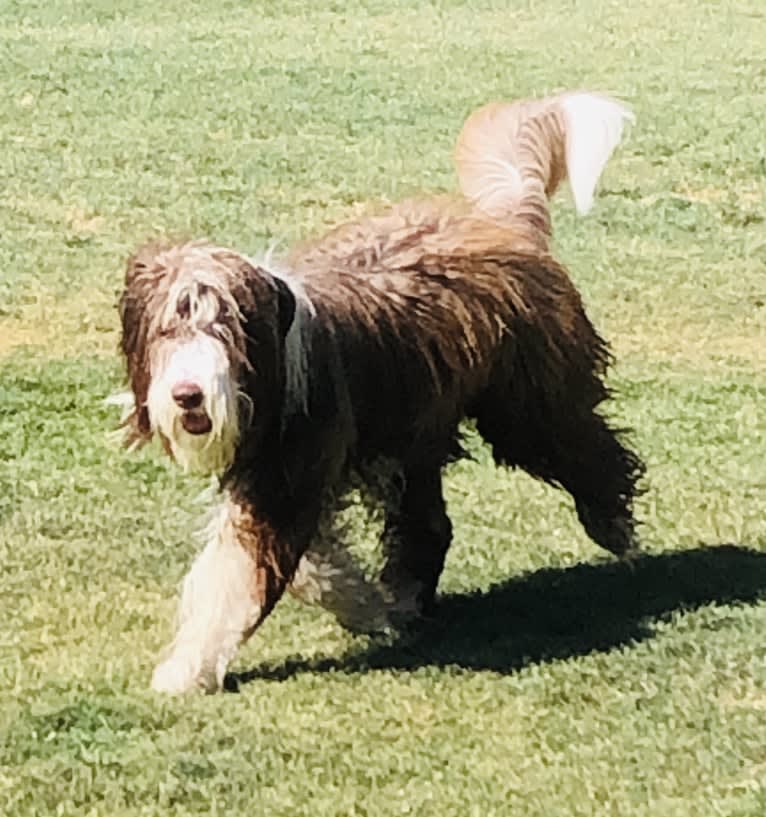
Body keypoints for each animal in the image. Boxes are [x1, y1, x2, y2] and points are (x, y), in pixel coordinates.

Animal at [118, 89, 640, 692]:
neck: (277, 361)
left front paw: (185, 669)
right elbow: (310, 570)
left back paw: (615, 528)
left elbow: (236, 576)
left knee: (589, 451)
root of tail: (503, 222)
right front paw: (367, 606)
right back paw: (407, 600)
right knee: (428, 525)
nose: (188, 395)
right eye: (169, 330)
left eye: (224, 330)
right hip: (414, 435)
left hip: (527, 405)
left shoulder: (289, 477)